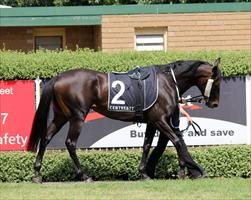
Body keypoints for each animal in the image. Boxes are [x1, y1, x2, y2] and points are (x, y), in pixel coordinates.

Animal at [27, 58, 220, 183]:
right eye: (217, 81)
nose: (215, 104)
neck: (167, 81)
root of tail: (58, 77)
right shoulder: (160, 120)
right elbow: (177, 141)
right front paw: (182, 171)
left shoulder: (152, 122)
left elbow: (147, 145)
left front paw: (144, 173)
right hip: (77, 116)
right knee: (70, 143)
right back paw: (84, 176)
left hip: (61, 115)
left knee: (45, 138)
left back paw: (37, 174)